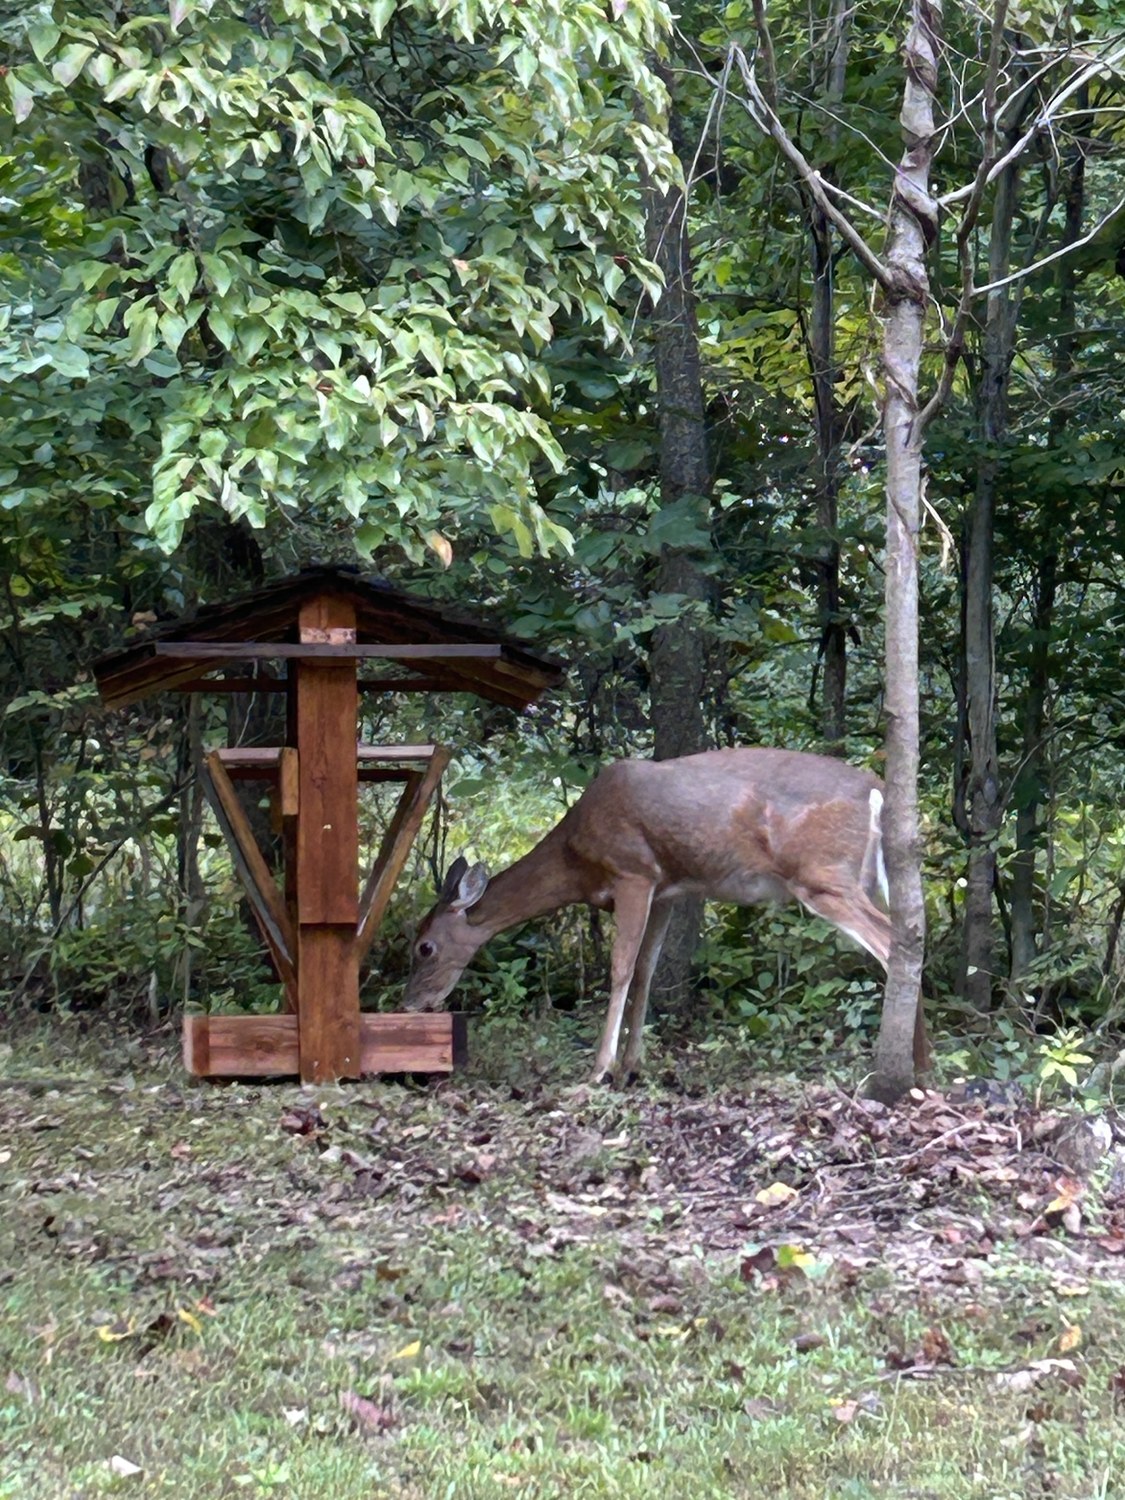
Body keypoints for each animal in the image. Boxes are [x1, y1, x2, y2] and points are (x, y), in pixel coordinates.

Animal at [403, 747, 930, 1083]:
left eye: (425, 946)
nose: (411, 1003)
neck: (576, 858)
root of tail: (879, 789)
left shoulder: (633, 872)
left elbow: (620, 968)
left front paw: (598, 1070)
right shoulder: (666, 892)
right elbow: (647, 971)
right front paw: (632, 1066)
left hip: (822, 873)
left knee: (893, 944)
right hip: (866, 879)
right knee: (909, 934)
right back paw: (921, 1067)